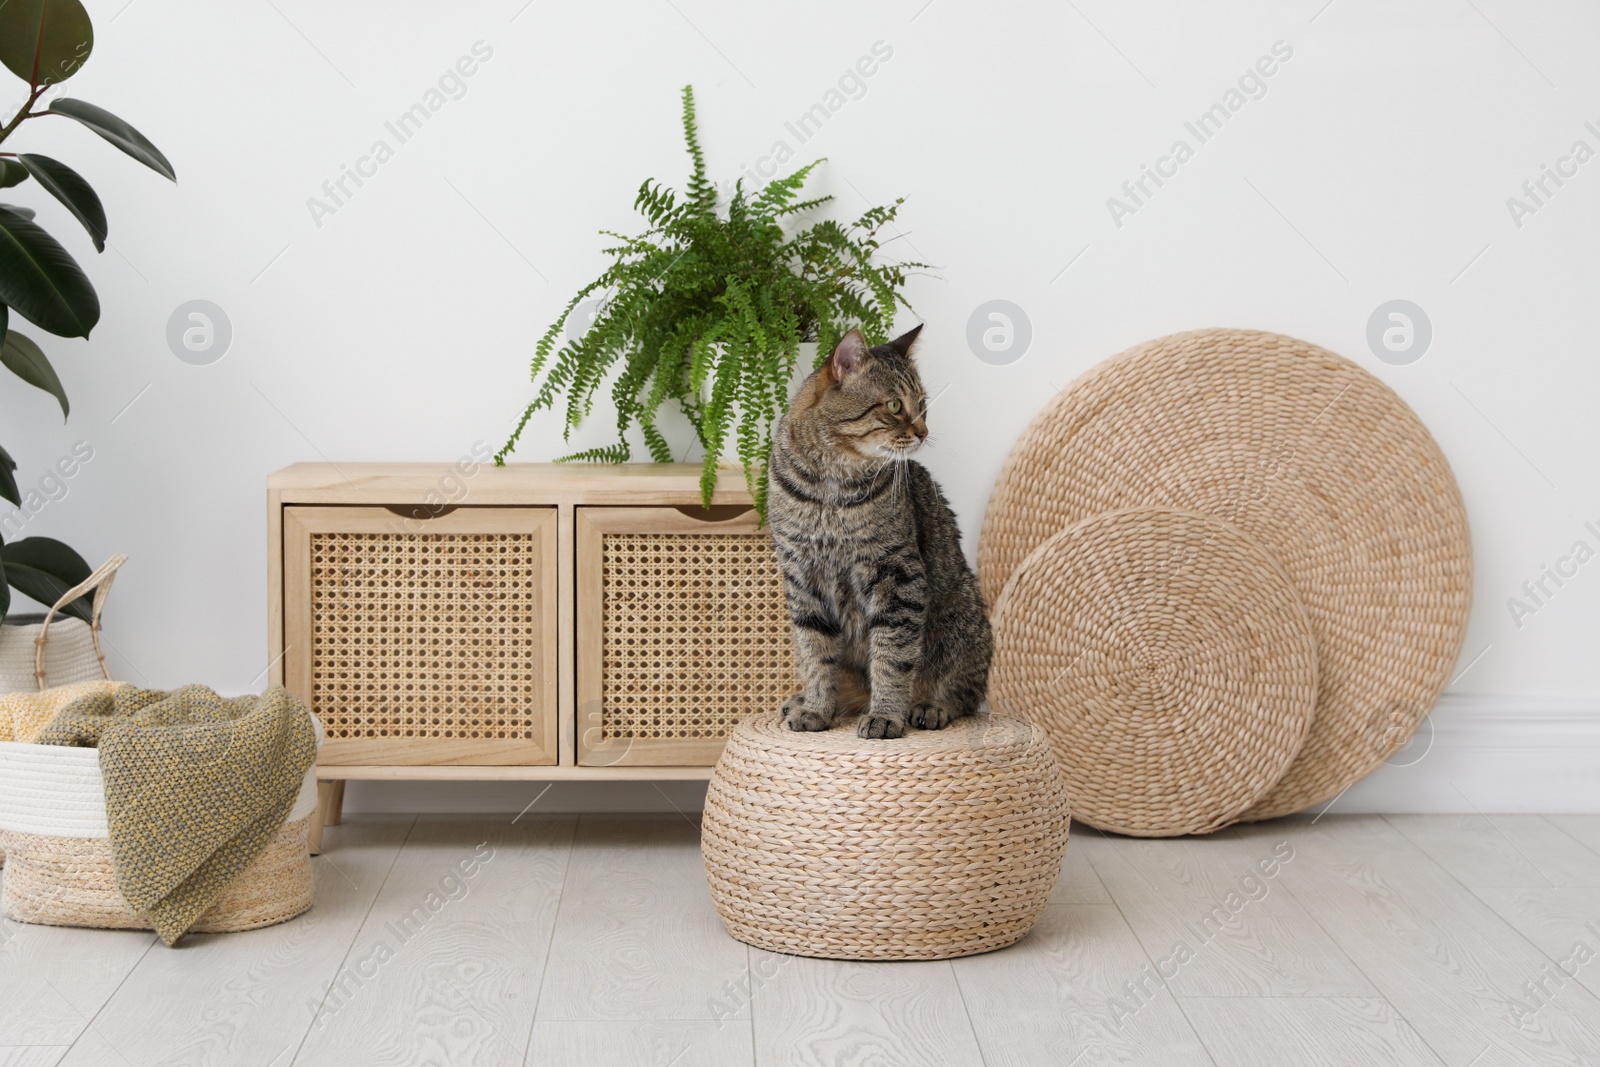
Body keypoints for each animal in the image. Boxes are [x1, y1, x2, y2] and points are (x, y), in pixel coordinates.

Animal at [761, 326, 985, 739]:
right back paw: (806, 699)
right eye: (895, 406)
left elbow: (892, 656)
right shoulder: (801, 576)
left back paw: (930, 706)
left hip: (959, 613)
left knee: (964, 691)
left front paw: (886, 714)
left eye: (922, 404)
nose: (924, 432)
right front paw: (816, 707)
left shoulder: (896, 574)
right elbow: (815, 652)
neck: (830, 485)